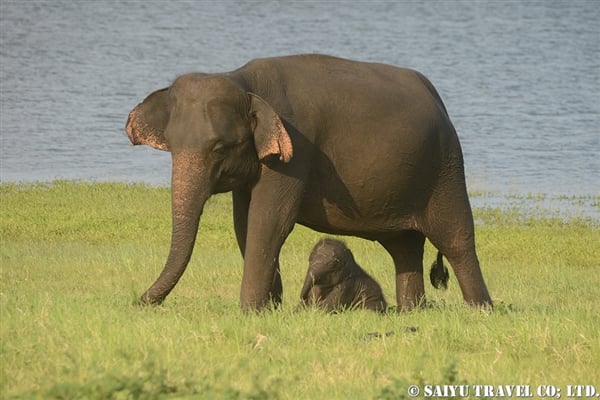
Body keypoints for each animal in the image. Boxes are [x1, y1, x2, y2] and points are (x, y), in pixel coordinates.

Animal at [126, 53, 492, 310]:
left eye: (219, 148)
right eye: (172, 145)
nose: (139, 302)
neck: (243, 80)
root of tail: (437, 98)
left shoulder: (296, 151)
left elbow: (270, 221)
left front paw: (251, 312)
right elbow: (244, 223)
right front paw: (269, 309)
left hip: (445, 167)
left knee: (455, 239)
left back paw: (480, 310)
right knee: (404, 247)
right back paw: (411, 312)